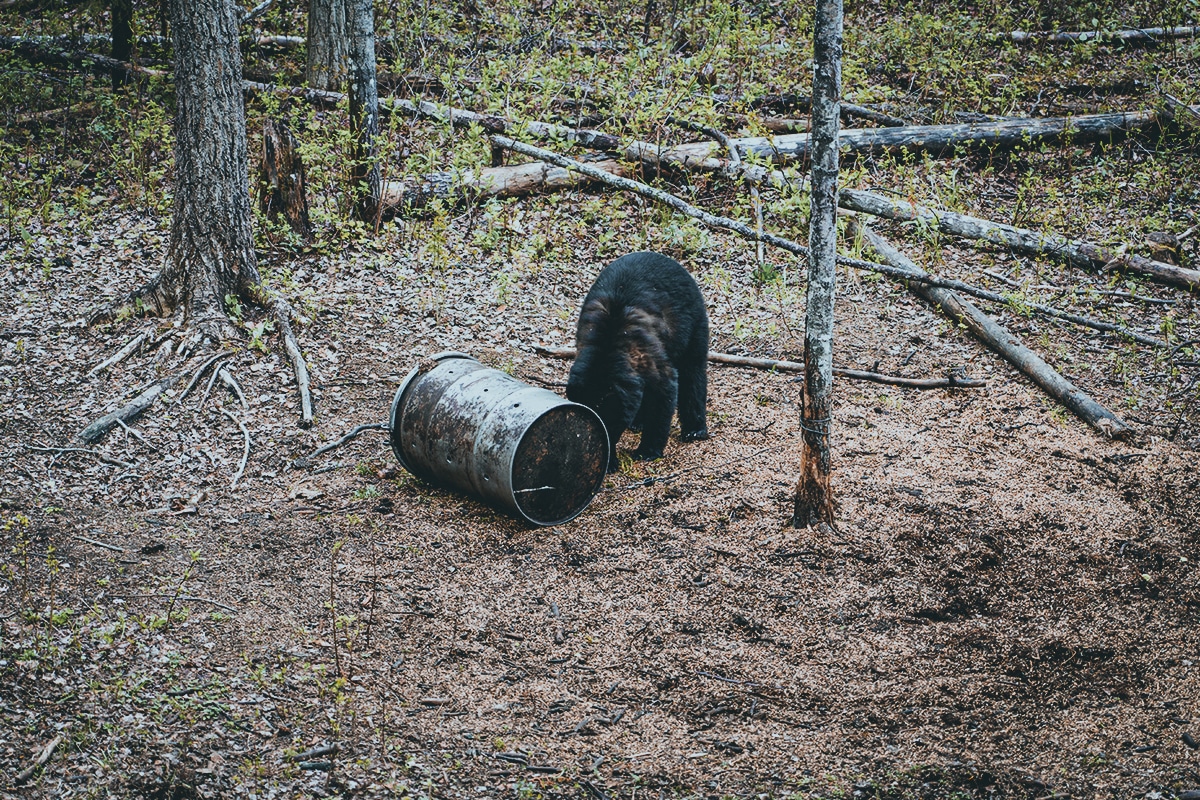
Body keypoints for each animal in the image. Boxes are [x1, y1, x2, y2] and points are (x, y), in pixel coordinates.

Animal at [566, 253, 705, 472]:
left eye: (610, 426)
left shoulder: (646, 350)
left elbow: (664, 390)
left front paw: (647, 450)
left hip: (693, 322)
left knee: (693, 372)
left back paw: (695, 430)